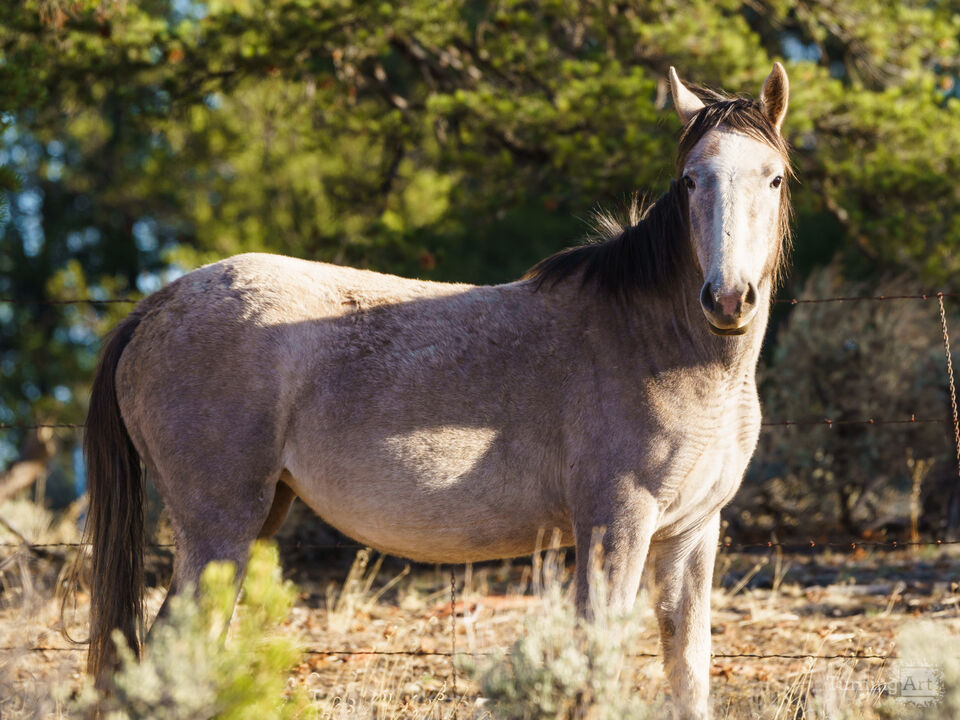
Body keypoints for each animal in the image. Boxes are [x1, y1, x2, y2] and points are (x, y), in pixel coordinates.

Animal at [83, 64, 791, 719]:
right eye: (691, 180)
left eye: (774, 178)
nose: (728, 299)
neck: (660, 345)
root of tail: (158, 305)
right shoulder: (615, 526)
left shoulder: (691, 533)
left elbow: (688, 665)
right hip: (219, 526)